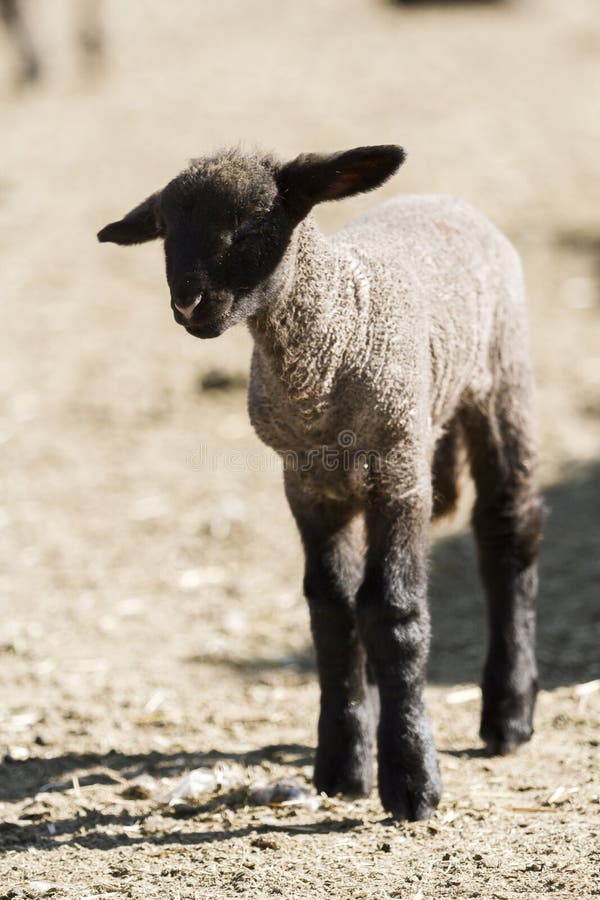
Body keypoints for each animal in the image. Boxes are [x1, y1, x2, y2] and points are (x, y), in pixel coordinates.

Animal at [97, 145, 543, 821]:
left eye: (251, 223)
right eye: (164, 229)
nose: (188, 305)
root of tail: (444, 199)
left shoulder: (400, 474)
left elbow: (393, 611)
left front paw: (412, 779)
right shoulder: (307, 486)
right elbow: (331, 611)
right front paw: (342, 763)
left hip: (501, 379)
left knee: (506, 534)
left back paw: (509, 714)